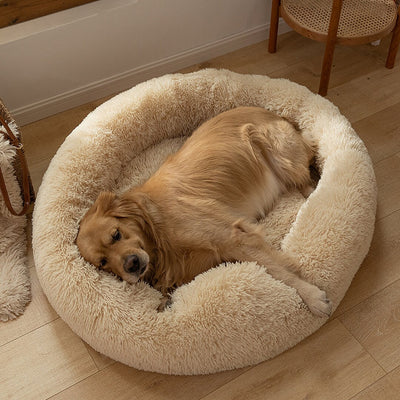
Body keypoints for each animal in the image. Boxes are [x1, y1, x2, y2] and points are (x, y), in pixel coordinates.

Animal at [76, 105, 332, 316]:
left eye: (116, 234)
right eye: (103, 263)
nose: (132, 265)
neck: (157, 229)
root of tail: (278, 115)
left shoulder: (233, 237)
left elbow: (278, 271)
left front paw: (312, 297)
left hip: (277, 152)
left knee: (307, 182)